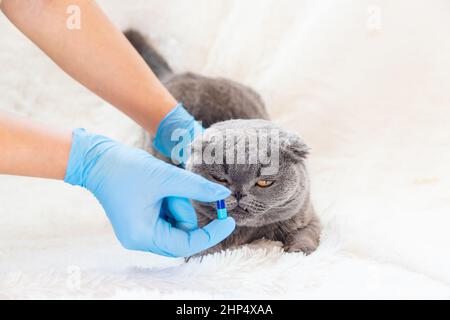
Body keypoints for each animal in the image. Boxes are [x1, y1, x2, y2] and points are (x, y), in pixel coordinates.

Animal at [123, 29, 320, 255]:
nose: (239, 193)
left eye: (264, 182)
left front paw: (298, 251)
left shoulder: (307, 218)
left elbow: (304, 234)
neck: (248, 233)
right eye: (220, 179)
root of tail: (177, 75)